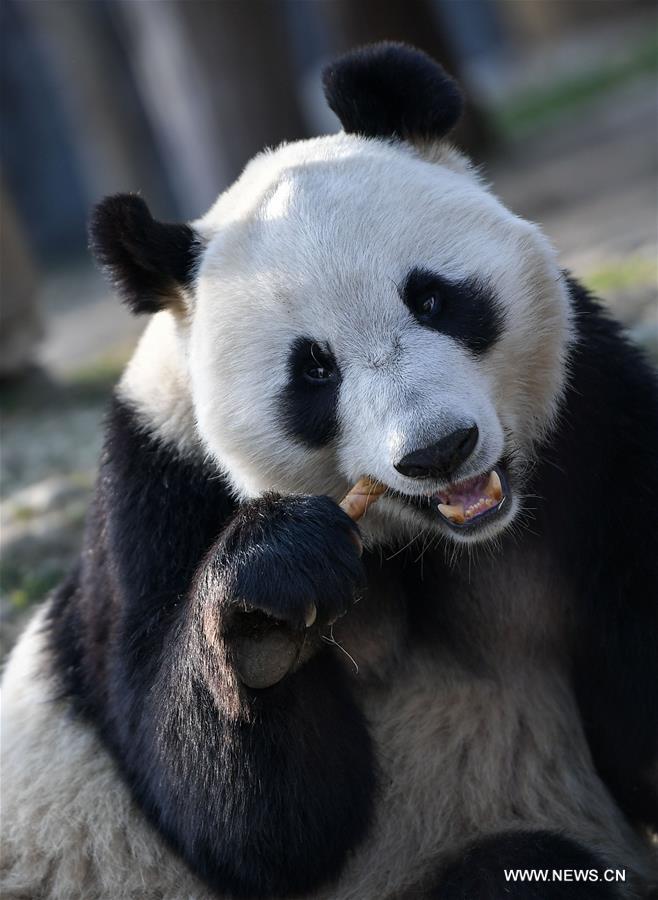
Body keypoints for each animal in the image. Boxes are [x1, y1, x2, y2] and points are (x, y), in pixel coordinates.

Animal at [2, 42, 657, 900]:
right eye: (313, 369)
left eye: (433, 299)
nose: (438, 450)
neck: (432, 547)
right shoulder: (154, 502)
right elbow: (247, 828)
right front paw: (268, 601)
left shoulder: (596, 426)